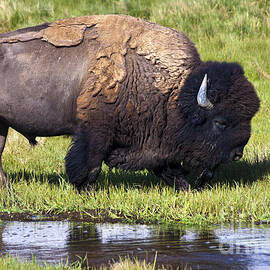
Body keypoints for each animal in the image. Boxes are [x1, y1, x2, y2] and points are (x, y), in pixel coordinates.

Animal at [0, 14, 260, 190]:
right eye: (220, 122)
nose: (237, 153)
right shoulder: (96, 131)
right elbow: (90, 165)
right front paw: (86, 190)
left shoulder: (155, 142)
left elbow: (168, 167)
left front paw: (184, 188)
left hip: (1, 126)